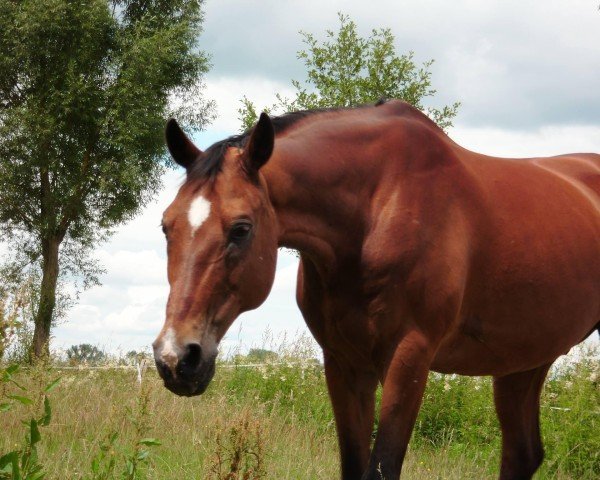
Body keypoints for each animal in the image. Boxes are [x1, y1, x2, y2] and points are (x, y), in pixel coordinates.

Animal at [154, 99, 600, 478]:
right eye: (165, 225)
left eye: (241, 229)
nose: (176, 358)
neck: (378, 206)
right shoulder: (344, 363)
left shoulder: (409, 358)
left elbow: (382, 468)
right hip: (523, 361)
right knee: (523, 453)